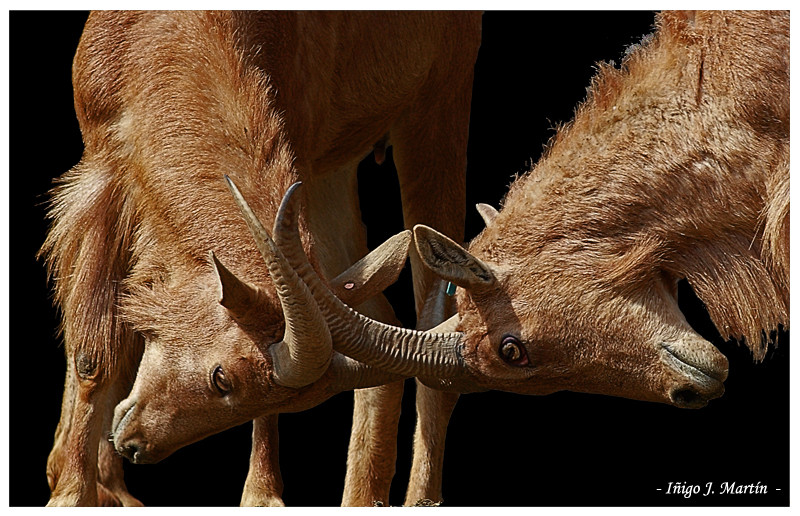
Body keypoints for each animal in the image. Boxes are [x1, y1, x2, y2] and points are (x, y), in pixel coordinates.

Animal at [40, 11, 478, 508]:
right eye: (222, 378)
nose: (135, 446)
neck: (176, 42)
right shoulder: (105, 177)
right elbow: (94, 354)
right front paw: (77, 492)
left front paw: (261, 497)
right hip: (337, 172)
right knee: (382, 314)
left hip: (439, 101)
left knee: (432, 353)